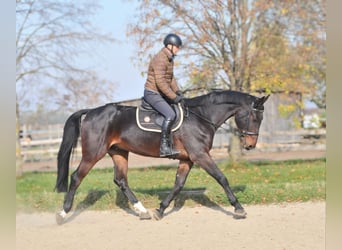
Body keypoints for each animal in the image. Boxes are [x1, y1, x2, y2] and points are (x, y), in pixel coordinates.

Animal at [54, 90, 270, 225]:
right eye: (254, 117)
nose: (250, 145)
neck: (200, 116)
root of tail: (91, 112)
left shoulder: (188, 159)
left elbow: (178, 185)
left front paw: (160, 210)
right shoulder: (200, 155)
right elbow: (221, 178)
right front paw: (239, 208)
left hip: (119, 152)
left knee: (121, 180)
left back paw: (142, 211)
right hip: (93, 154)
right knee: (76, 177)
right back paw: (62, 214)